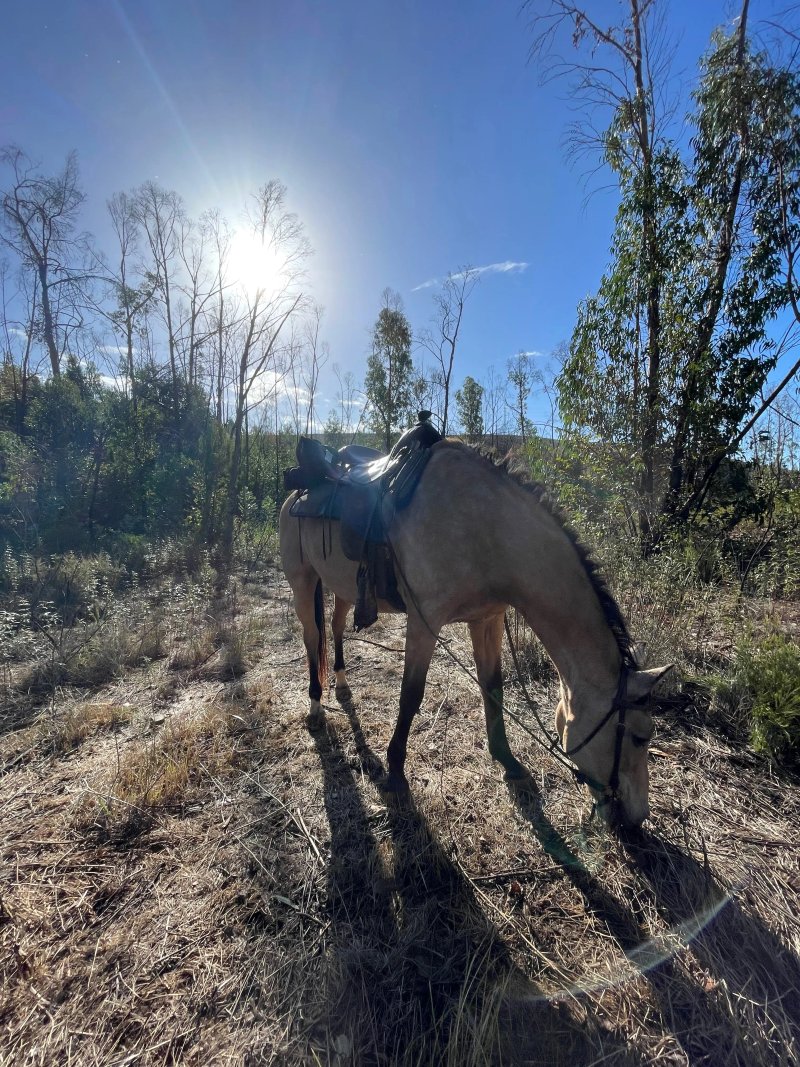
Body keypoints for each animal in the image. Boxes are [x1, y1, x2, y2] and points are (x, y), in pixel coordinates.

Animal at [279, 440, 671, 828]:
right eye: (639, 737)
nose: (637, 818)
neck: (485, 530)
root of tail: (298, 488)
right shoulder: (424, 622)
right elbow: (410, 697)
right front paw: (396, 773)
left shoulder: (487, 620)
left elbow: (493, 687)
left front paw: (507, 760)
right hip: (302, 581)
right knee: (312, 638)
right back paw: (315, 707)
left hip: (343, 587)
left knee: (335, 627)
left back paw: (342, 684)